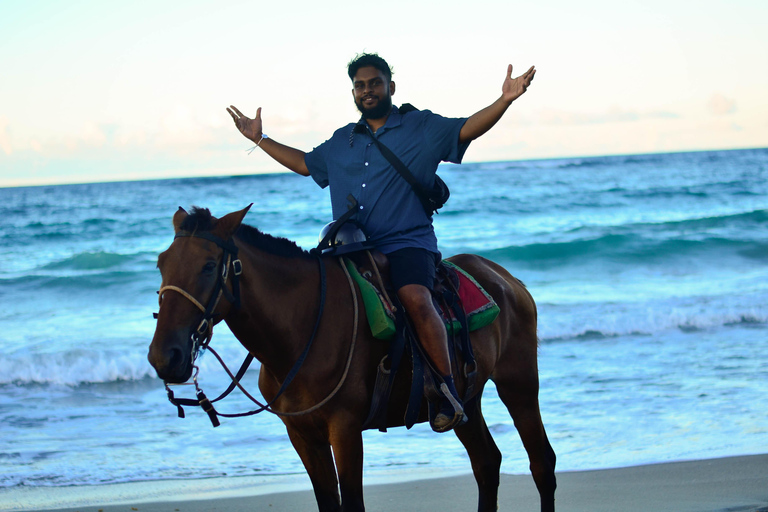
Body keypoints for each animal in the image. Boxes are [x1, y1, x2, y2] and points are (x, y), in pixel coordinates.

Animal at [148, 206, 560, 510]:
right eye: (161, 264)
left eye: (207, 266)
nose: (164, 357)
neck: (303, 328)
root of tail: (505, 277)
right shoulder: (302, 435)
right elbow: (329, 504)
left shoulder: (344, 429)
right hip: (466, 401)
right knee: (486, 464)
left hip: (519, 384)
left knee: (542, 463)